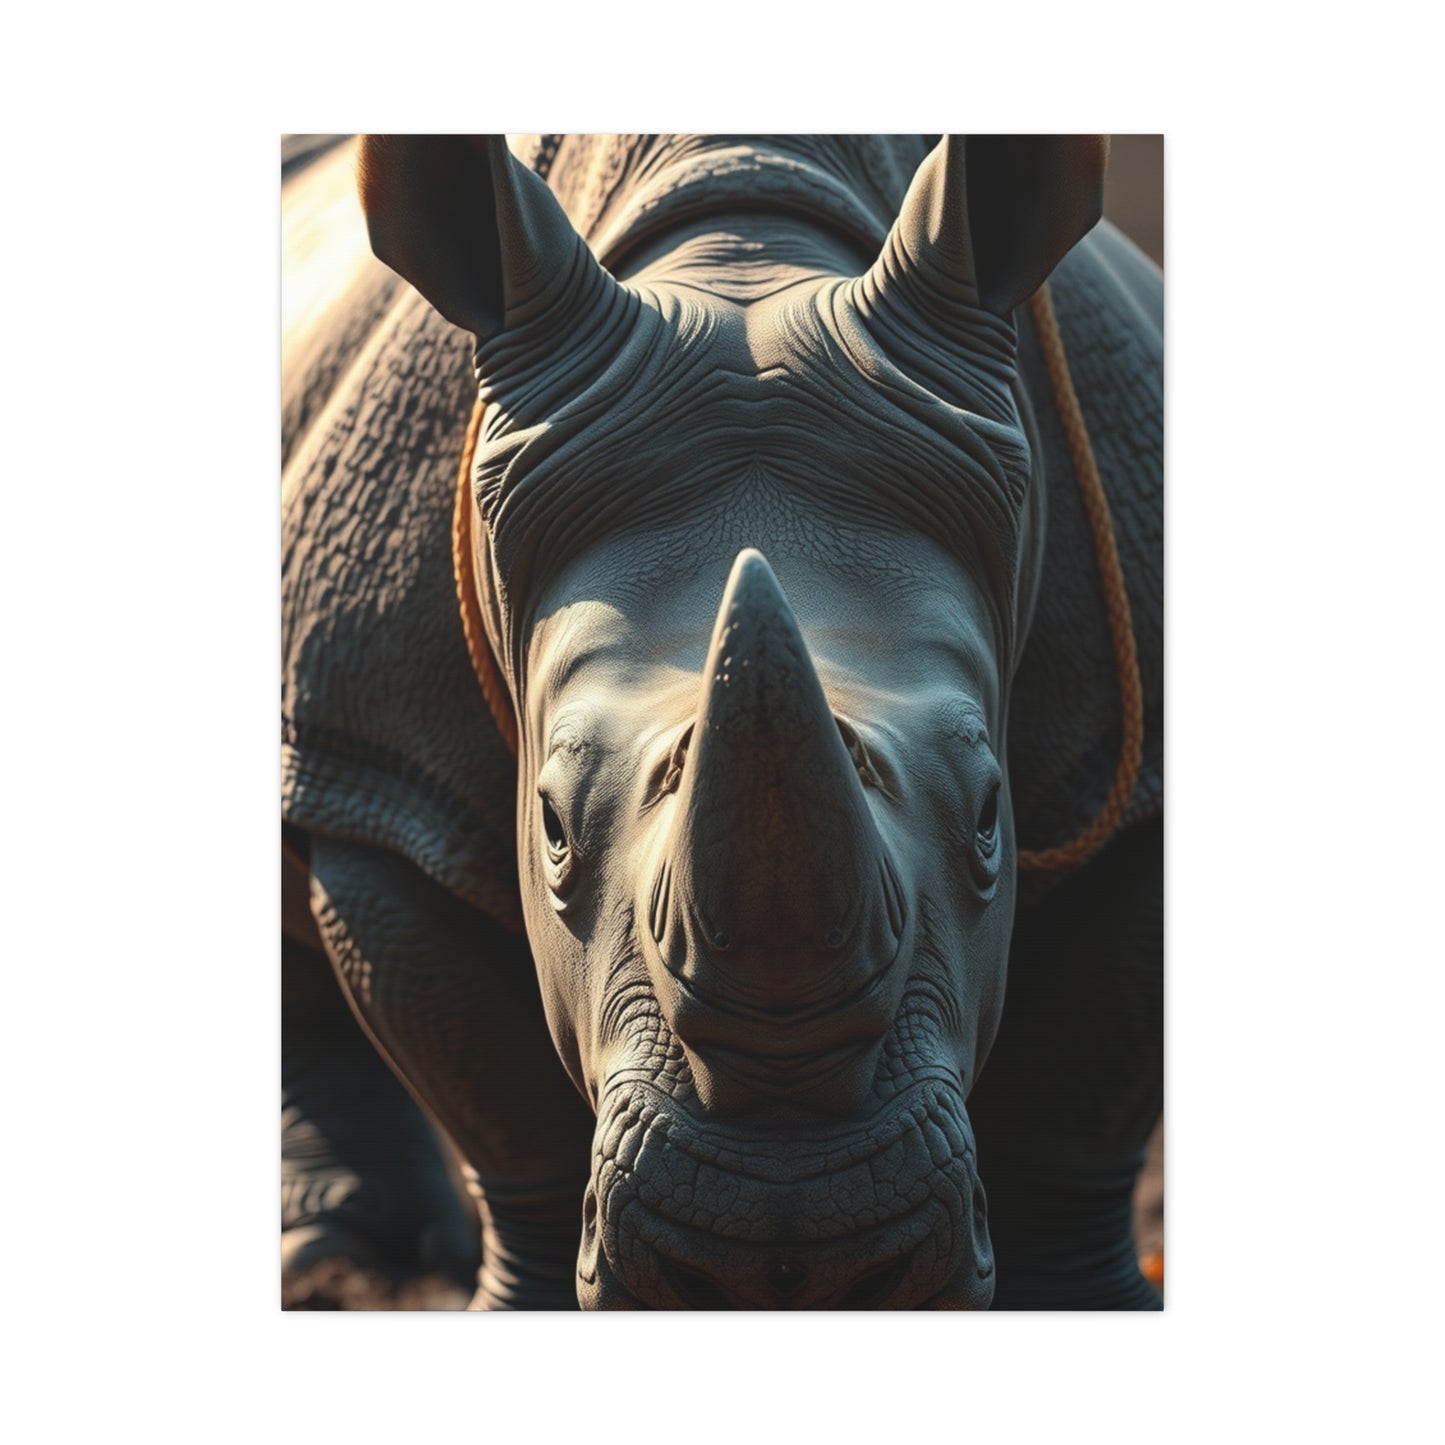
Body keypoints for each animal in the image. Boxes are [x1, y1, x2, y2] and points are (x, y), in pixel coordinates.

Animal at [281, 134, 1163, 1310]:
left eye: (989, 815)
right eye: (549, 825)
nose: (793, 1251)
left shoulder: (1125, 763)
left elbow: (1081, 1094)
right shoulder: (380, 769)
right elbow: (504, 1113)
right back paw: (331, 1256)